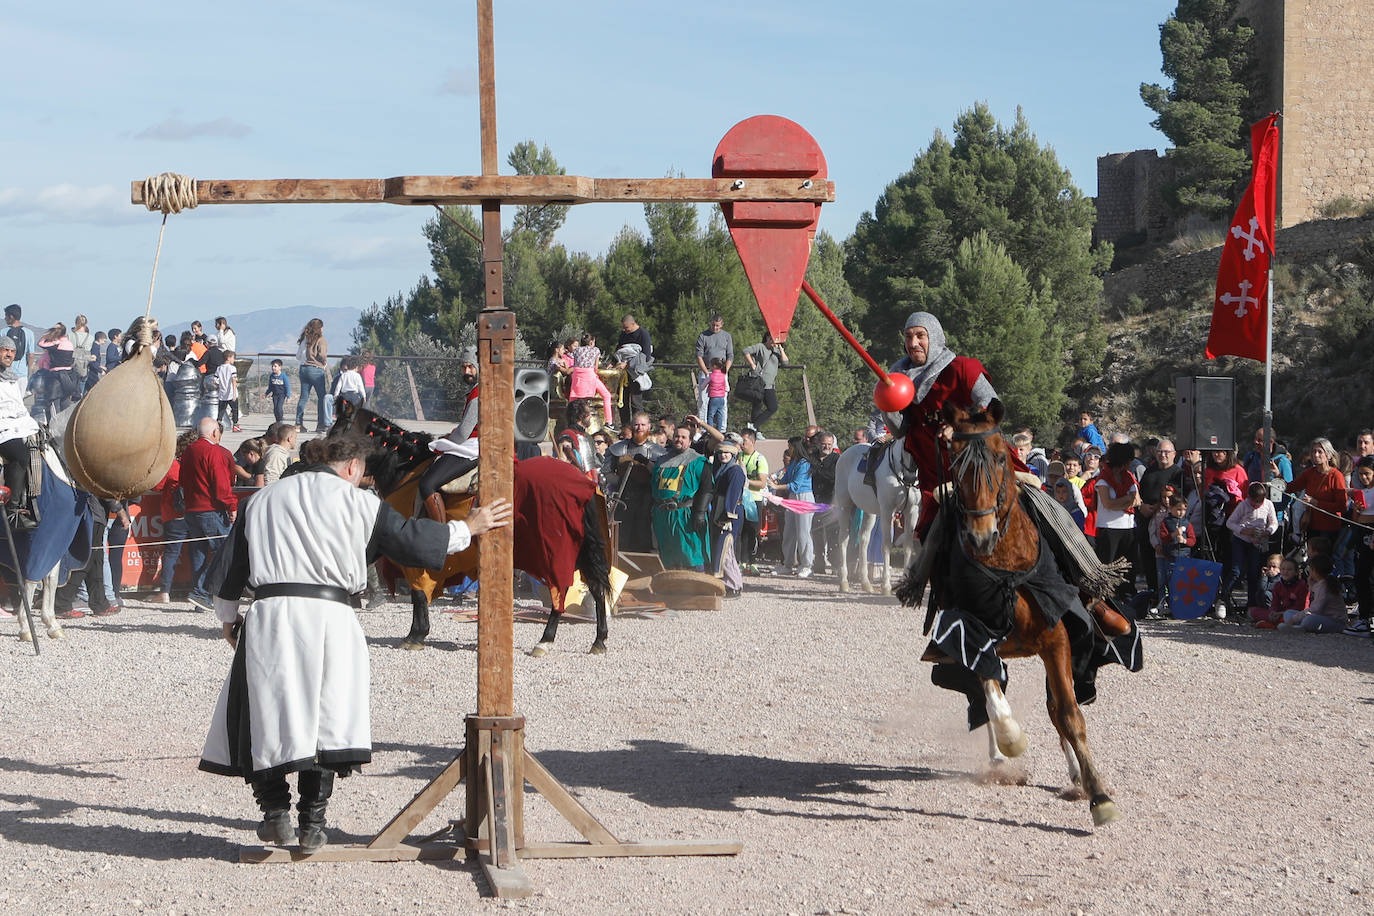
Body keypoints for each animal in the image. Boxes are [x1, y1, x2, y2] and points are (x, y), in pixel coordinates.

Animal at [327, 401, 612, 650]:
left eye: (337, 431)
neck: (403, 469)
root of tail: (580, 480)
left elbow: (418, 592)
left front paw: (416, 635)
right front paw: (416, 633)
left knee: (561, 588)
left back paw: (546, 639)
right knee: (595, 587)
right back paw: (598, 640)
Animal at [818, 442, 917, 596]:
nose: (910, 479)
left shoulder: (912, 510)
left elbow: (908, 547)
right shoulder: (887, 511)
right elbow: (886, 545)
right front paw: (886, 586)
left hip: (869, 511)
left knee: (864, 540)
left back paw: (865, 583)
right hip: (845, 506)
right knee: (843, 539)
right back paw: (844, 582)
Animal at [906, 398, 1143, 829]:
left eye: (1001, 457)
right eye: (955, 460)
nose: (981, 535)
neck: (1005, 566)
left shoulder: (1057, 640)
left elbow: (1068, 713)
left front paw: (1098, 795)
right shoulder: (968, 635)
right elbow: (992, 696)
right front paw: (1011, 740)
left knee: (1055, 708)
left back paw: (1075, 776)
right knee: (985, 701)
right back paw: (1001, 756)